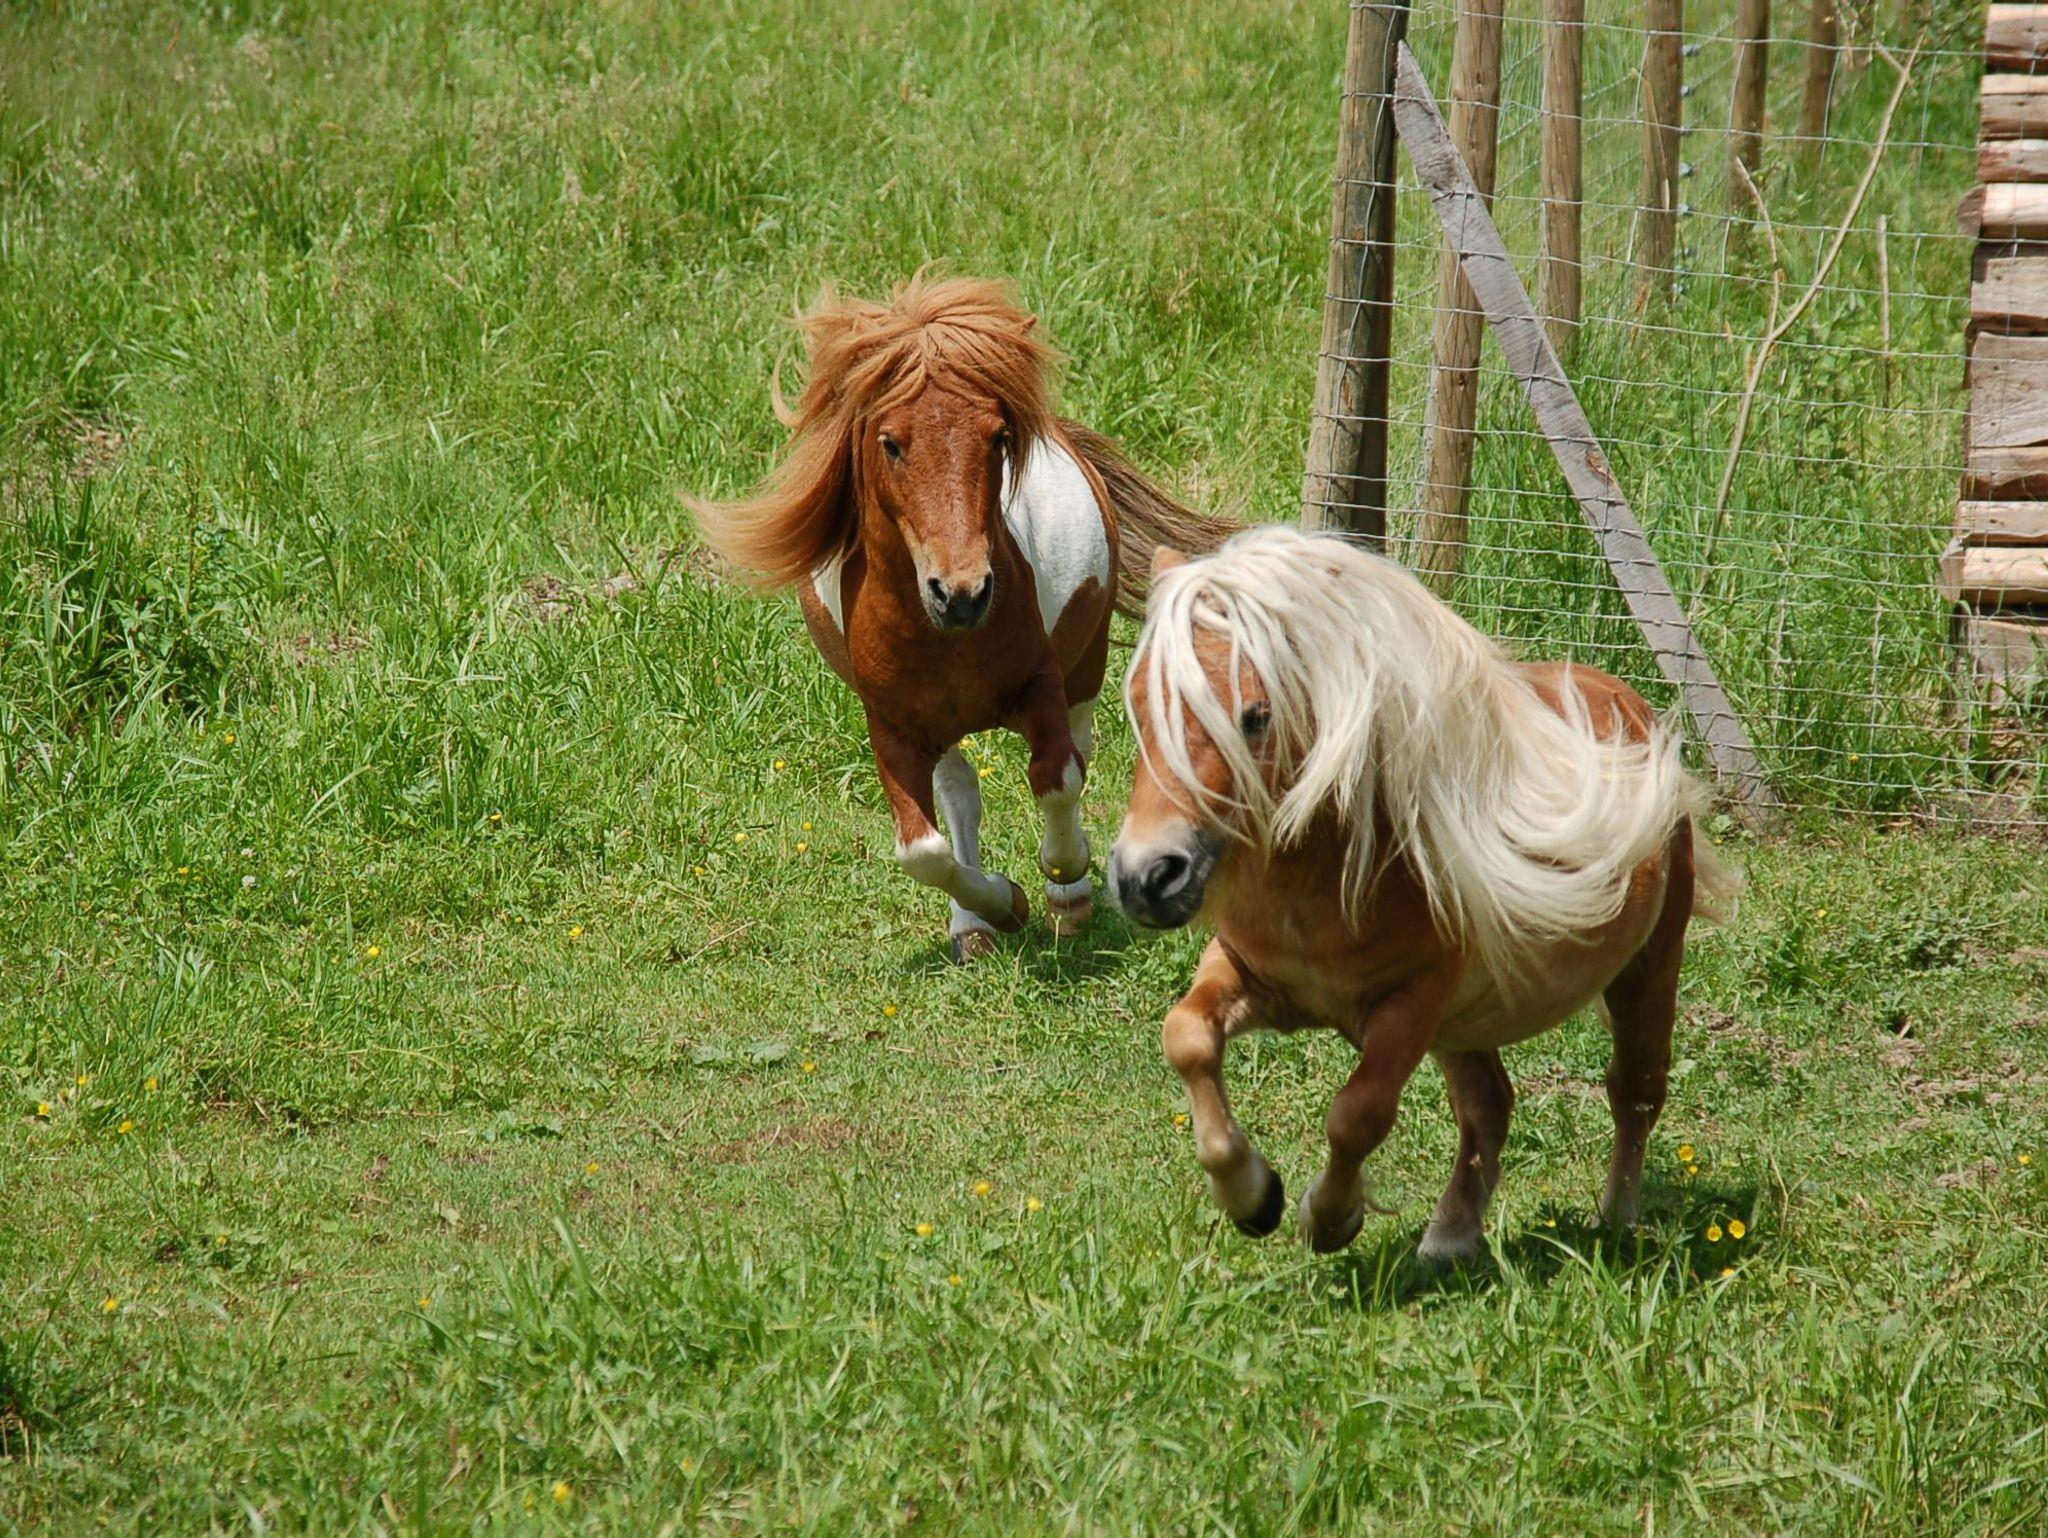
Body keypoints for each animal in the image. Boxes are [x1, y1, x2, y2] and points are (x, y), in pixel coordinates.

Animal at [694, 275, 1232, 962]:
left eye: (998, 437)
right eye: (891, 443)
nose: (963, 593)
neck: (944, 639)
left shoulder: (1040, 687)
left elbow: (1057, 779)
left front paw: (1064, 883)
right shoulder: (892, 726)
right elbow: (922, 849)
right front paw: (1001, 906)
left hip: (1085, 666)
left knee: (1077, 751)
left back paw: (1068, 899)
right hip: (942, 729)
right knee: (959, 790)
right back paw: (973, 926)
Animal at [1106, 526, 1736, 1258]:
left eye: (1256, 716)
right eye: (1140, 702)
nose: (1146, 877)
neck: (1323, 878)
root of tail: (1627, 705)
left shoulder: (1414, 1003)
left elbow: (1358, 1114)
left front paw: (1329, 1217)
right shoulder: (1247, 972)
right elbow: (1187, 1038)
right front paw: (1252, 1197)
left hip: (1645, 971)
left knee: (1634, 1090)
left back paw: (1616, 1219)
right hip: (1467, 1025)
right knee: (1490, 1103)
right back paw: (1452, 1236)